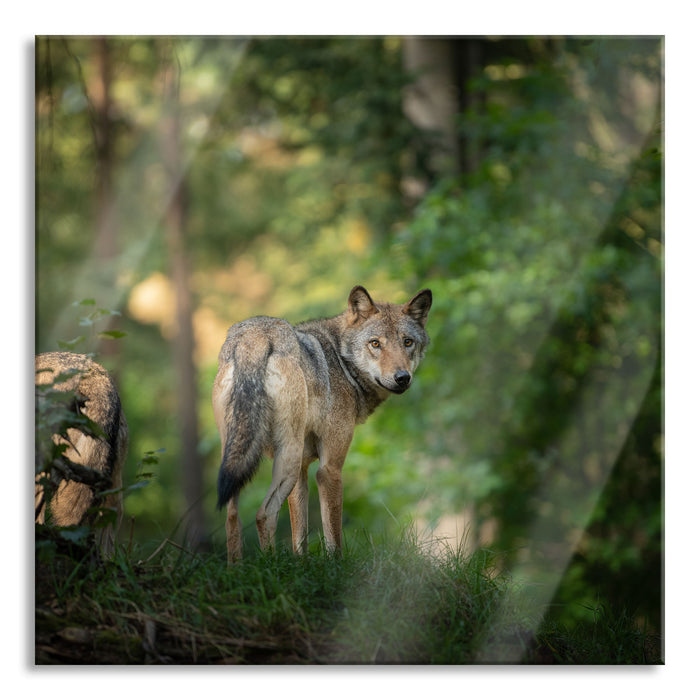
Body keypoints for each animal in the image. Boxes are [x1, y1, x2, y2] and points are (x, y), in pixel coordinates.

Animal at [213, 285, 432, 561]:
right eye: (375, 343)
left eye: (407, 342)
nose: (402, 377)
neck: (341, 361)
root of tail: (254, 338)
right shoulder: (329, 469)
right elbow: (333, 535)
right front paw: (336, 567)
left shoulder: (303, 470)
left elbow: (300, 536)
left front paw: (301, 564)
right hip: (287, 458)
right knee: (264, 514)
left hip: (238, 459)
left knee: (232, 517)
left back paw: (237, 568)